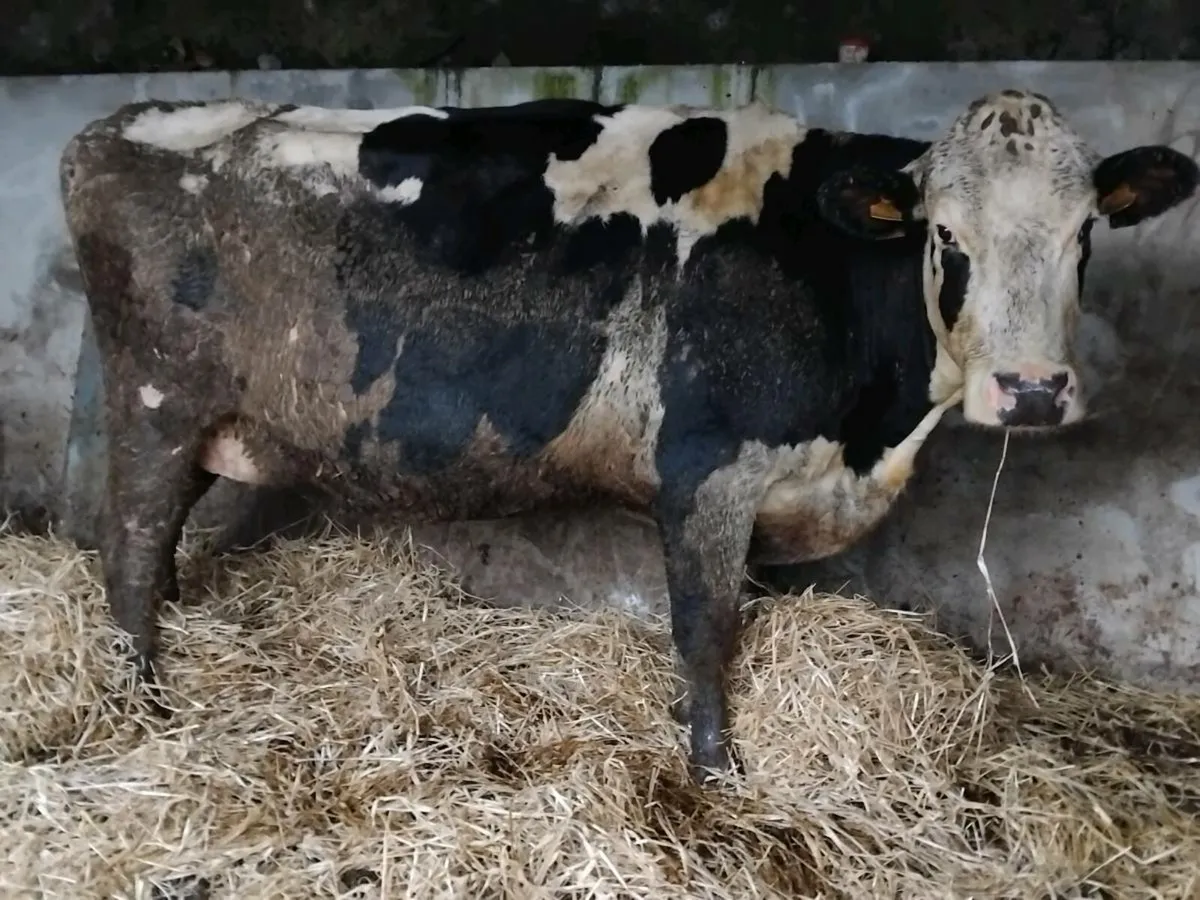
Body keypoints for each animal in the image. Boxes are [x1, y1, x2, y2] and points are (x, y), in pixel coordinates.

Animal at [59, 90, 1197, 784]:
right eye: (946, 238)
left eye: (1084, 234)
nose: (1032, 391)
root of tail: (123, 125)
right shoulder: (704, 470)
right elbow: (705, 631)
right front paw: (716, 772)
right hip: (155, 406)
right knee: (128, 548)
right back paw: (142, 701)